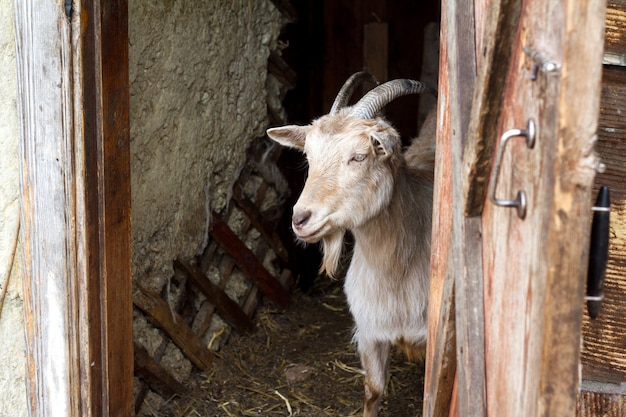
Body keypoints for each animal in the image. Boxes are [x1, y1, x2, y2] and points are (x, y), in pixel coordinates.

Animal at [264, 72, 434, 416]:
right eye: (309, 156)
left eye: (359, 156)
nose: (300, 218)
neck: (395, 272)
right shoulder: (369, 331)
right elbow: (373, 389)